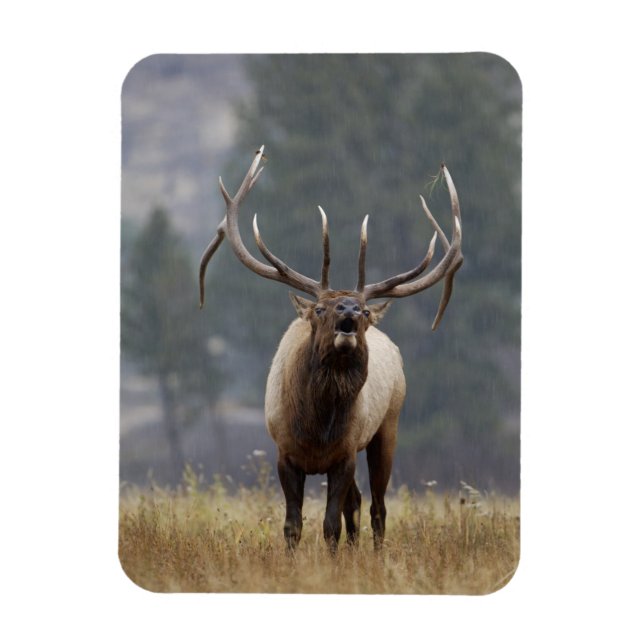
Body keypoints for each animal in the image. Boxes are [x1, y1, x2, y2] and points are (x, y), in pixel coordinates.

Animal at [199, 146, 463, 551]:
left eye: (366, 312)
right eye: (320, 309)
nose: (350, 309)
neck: (316, 428)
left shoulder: (344, 454)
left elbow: (330, 524)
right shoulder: (284, 453)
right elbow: (293, 524)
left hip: (388, 426)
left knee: (376, 506)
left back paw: (374, 553)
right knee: (357, 502)